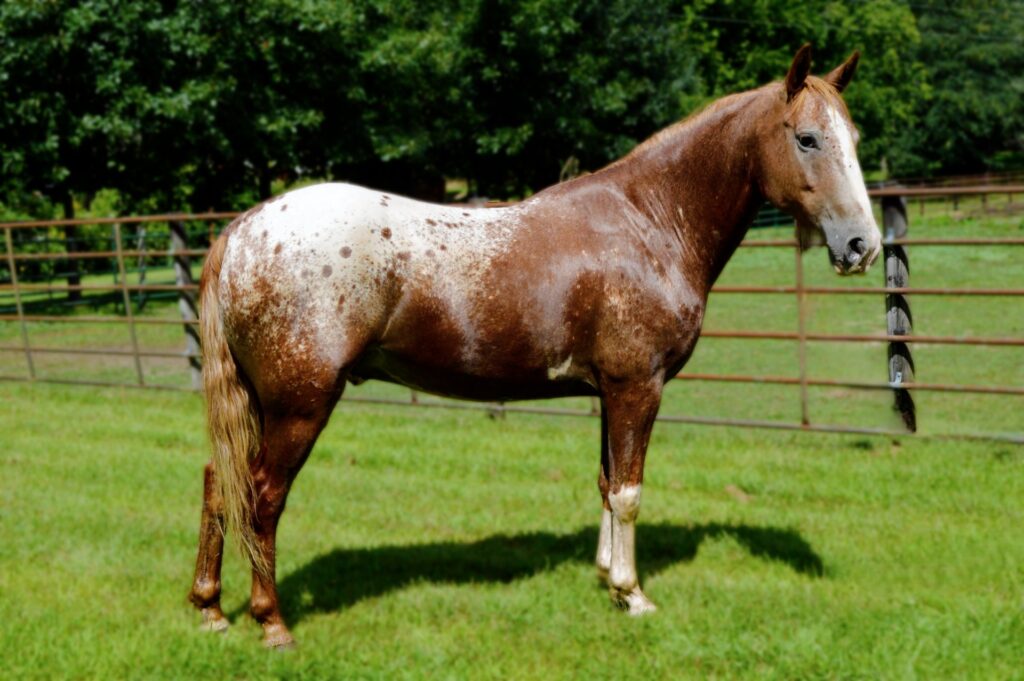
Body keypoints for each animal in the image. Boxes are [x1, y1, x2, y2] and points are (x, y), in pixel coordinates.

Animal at [188, 44, 881, 648]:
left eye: (854, 139)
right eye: (807, 138)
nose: (862, 246)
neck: (650, 220)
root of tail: (243, 230)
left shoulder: (609, 391)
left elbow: (605, 481)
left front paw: (606, 580)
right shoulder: (638, 387)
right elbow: (628, 491)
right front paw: (633, 594)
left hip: (260, 403)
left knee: (220, 481)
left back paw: (209, 610)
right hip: (298, 406)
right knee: (263, 496)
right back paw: (271, 622)